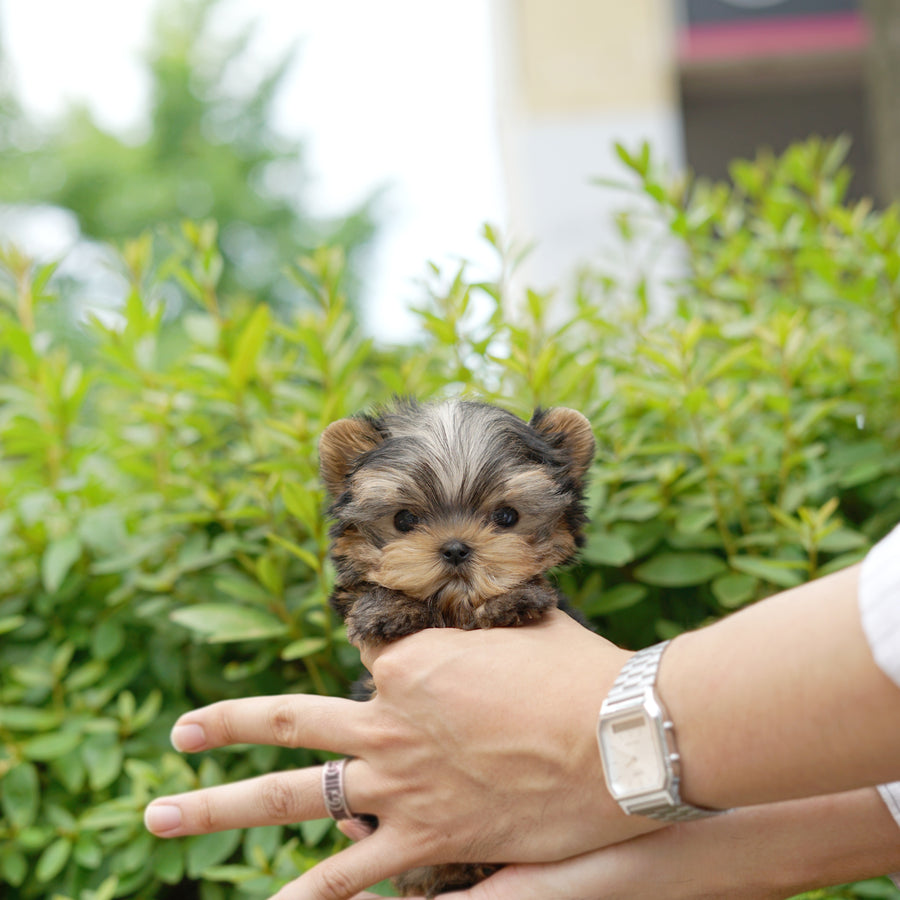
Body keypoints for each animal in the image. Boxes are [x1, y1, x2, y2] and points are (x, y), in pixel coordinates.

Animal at [320, 398, 596, 896]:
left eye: (506, 517)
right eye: (404, 519)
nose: (454, 547)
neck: (453, 609)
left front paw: (512, 599)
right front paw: (387, 608)